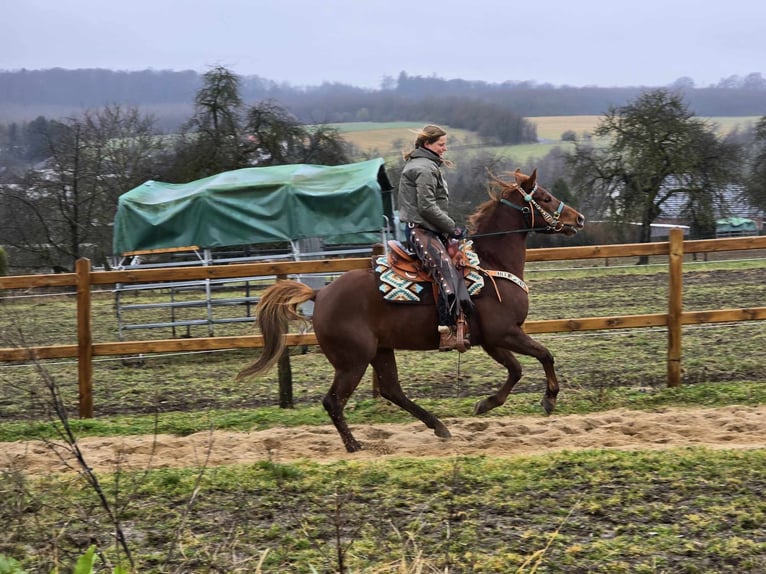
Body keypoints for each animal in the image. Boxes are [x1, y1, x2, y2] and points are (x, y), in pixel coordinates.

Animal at [240, 169, 588, 452]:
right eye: (545, 197)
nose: (578, 219)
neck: (492, 264)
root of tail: (321, 293)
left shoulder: (492, 340)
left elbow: (515, 370)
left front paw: (486, 404)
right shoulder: (505, 333)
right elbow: (544, 355)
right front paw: (548, 399)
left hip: (380, 351)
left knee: (392, 390)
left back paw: (439, 427)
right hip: (353, 361)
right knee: (334, 401)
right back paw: (354, 445)